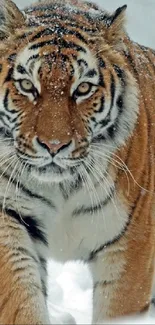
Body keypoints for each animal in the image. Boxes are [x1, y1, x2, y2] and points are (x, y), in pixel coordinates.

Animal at [0, 0, 155, 322]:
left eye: (83, 89)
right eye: (27, 85)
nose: (53, 145)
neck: (61, 188)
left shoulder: (131, 244)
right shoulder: (9, 217)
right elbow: (21, 300)